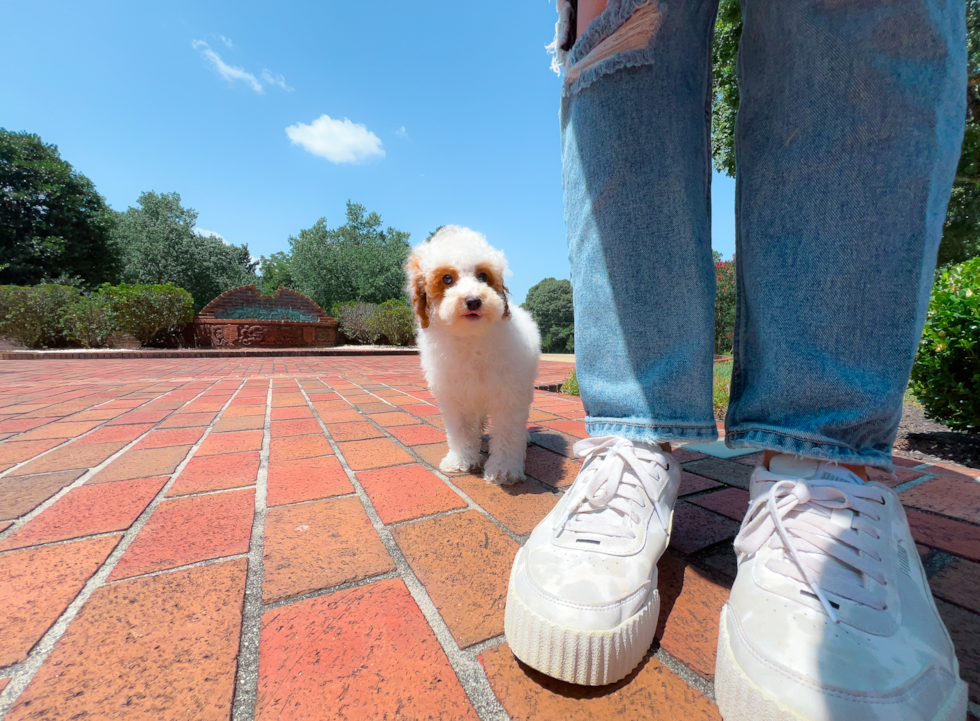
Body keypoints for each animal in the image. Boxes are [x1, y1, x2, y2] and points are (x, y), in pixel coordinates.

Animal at [406, 225, 544, 484]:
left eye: (482, 276)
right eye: (447, 278)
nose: (473, 300)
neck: (471, 339)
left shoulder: (509, 395)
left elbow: (508, 432)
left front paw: (503, 469)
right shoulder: (454, 397)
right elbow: (461, 431)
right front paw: (461, 460)